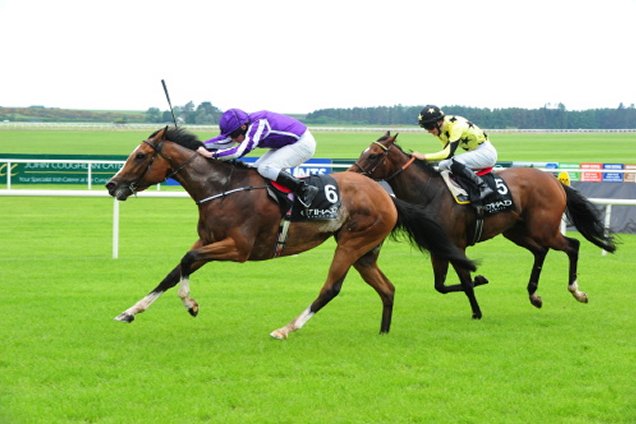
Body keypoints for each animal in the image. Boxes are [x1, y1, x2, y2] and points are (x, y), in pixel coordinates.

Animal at [104, 127, 474, 340]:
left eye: (140, 155)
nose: (111, 185)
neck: (221, 188)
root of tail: (387, 195)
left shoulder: (238, 248)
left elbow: (186, 259)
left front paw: (191, 304)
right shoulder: (209, 240)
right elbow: (173, 271)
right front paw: (129, 312)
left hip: (352, 244)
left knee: (331, 288)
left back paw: (286, 328)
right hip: (365, 252)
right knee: (387, 289)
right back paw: (383, 334)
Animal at [350, 131, 620, 320]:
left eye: (373, 155)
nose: (353, 174)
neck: (429, 193)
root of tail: (554, 181)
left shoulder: (456, 245)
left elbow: (465, 282)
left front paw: (477, 311)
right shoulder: (439, 247)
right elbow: (441, 286)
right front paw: (480, 282)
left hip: (543, 229)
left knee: (572, 246)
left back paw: (577, 291)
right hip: (516, 231)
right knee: (540, 251)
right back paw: (534, 295)